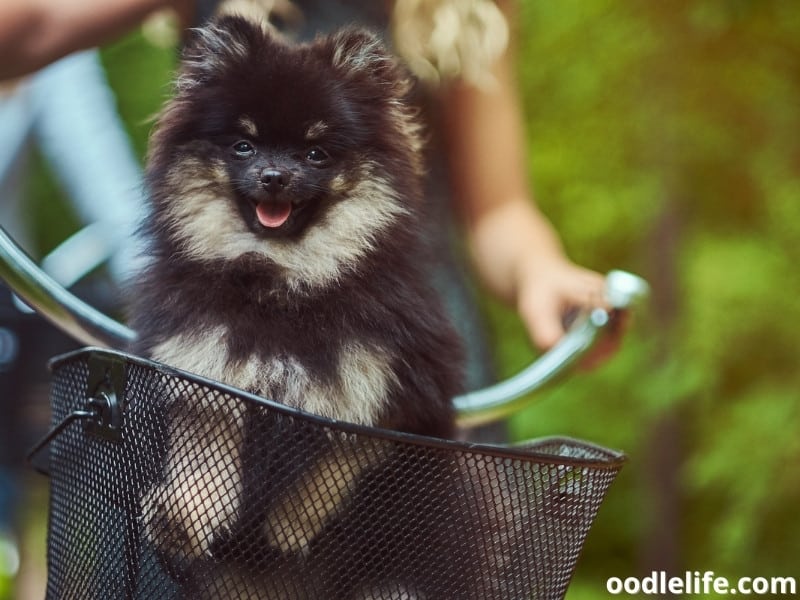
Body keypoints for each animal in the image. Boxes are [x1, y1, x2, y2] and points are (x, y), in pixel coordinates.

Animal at [130, 14, 468, 600]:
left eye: (316, 153)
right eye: (244, 146)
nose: (274, 176)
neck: (283, 285)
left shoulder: (395, 390)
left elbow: (341, 454)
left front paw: (289, 527)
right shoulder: (204, 365)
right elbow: (203, 447)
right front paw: (182, 518)